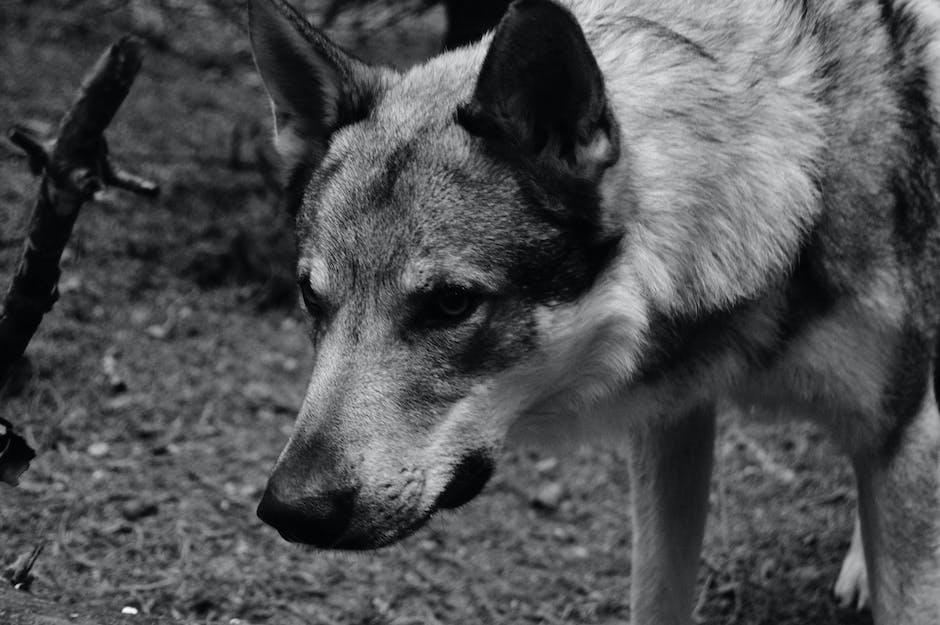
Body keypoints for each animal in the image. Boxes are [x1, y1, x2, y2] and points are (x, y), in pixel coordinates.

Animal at [248, 0, 940, 620]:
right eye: (312, 297)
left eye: (451, 303)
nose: (291, 509)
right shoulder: (671, 421)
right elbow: (656, 601)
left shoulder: (905, 432)